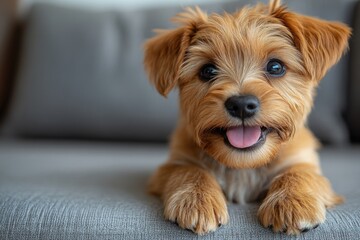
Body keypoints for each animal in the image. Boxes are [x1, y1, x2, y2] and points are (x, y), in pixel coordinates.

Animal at [143, 0, 348, 235]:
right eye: (208, 70)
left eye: (275, 66)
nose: (241, 105)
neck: (244, 166)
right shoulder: (174, 163)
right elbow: (189, 170)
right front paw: (196, 199)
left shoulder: (303, 160)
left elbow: (299, 173)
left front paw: (293, 201)